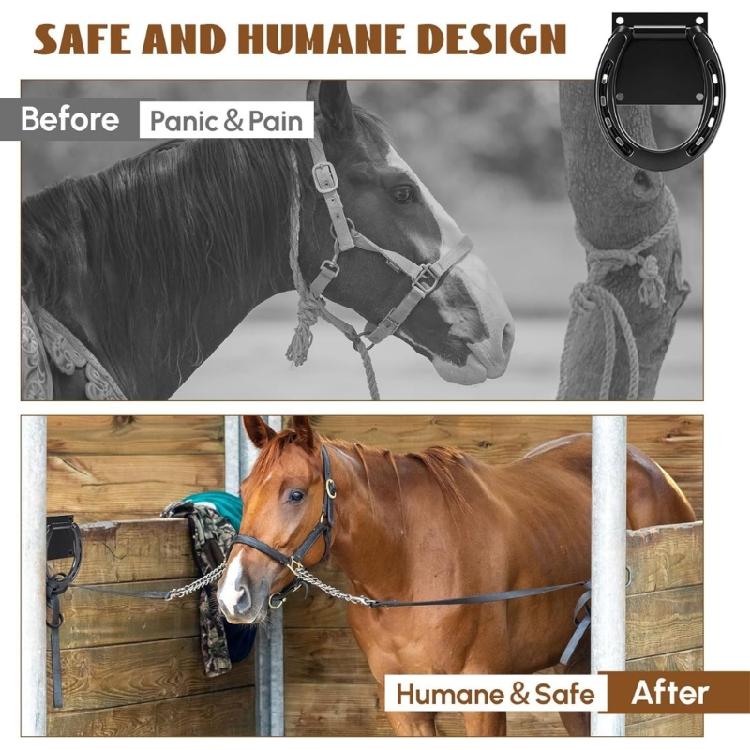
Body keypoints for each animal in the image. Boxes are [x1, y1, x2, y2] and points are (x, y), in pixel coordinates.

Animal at [218, 416, 696, 737]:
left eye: (296, 494)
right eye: (244, 491)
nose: (233, 596)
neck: (408, 568)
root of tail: (655, 472)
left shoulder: (481, 698)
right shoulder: (405, 706)